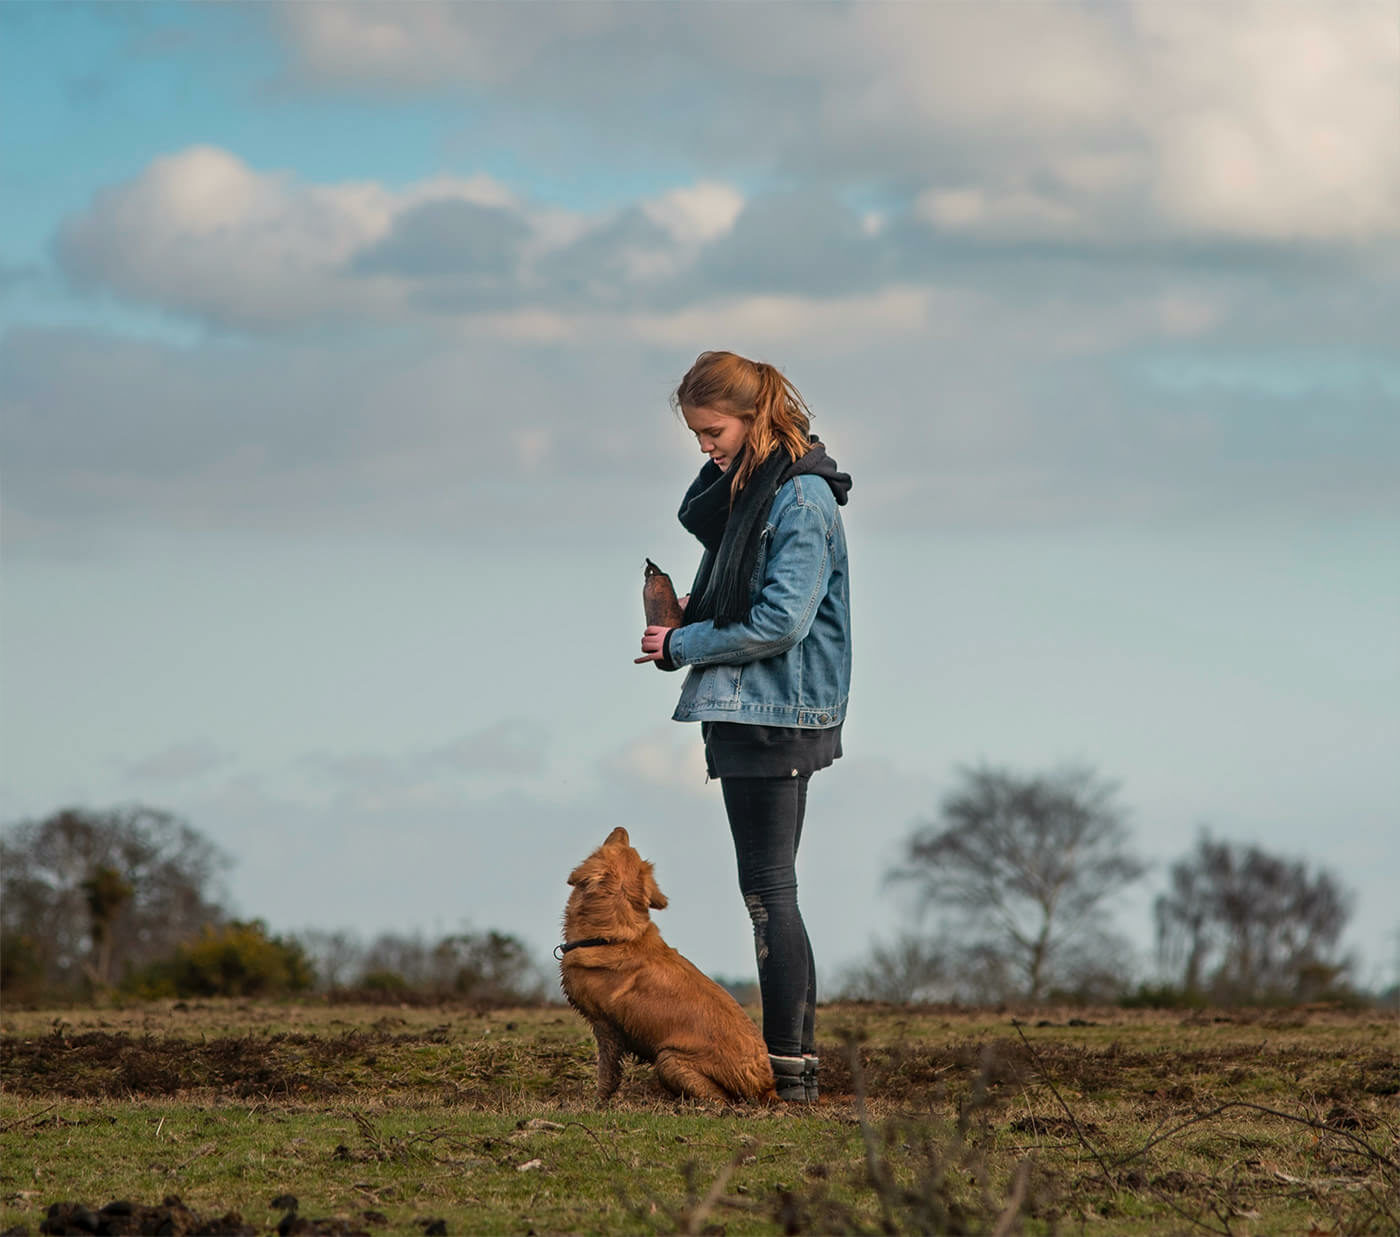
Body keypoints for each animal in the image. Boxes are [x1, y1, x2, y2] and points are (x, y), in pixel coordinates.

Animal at [557, 828, 778, 1102]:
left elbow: (606, 1072)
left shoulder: (605, 1025)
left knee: (722, 1100)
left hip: (668, 1058)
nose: (621, 829)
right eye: (628, 847)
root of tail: (767, 1086)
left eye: (614, 846)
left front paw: (598, 1102)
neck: (611, 936)